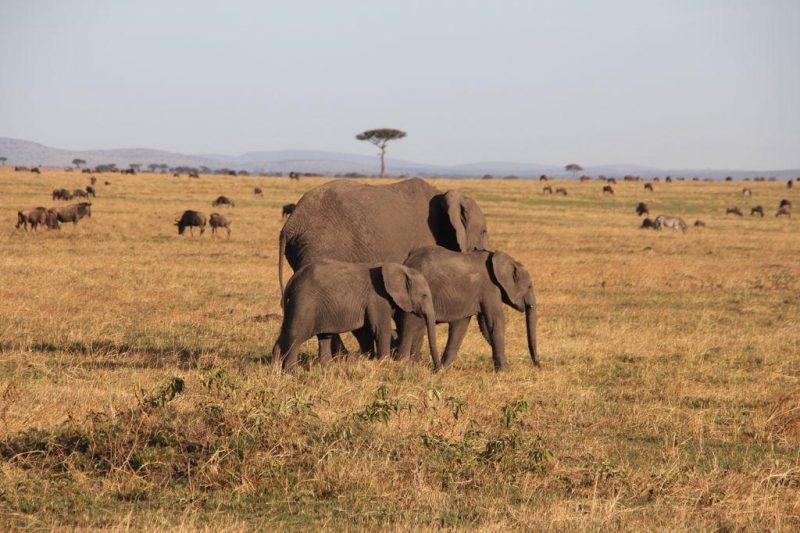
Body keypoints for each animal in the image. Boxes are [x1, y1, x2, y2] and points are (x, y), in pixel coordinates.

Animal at [274, 260, 438, 372]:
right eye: (424, 295)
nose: (435, 370)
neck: (401, 269)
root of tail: (293, 279)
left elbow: (365, 332)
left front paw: (370, 361)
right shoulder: (378, 299)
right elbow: (380, 329)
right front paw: (384, 364)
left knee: (316, 336)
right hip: (305, 302)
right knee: (296, 336)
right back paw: (293, 373)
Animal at [396, 245, 536, 370]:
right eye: (529, 286)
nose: (537, 365)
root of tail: (407, 261)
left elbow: (463, 325)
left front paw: (444, 368)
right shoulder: (490, 287)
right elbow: (495, 321)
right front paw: (506, 370)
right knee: (411, 326)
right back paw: (404, 365)